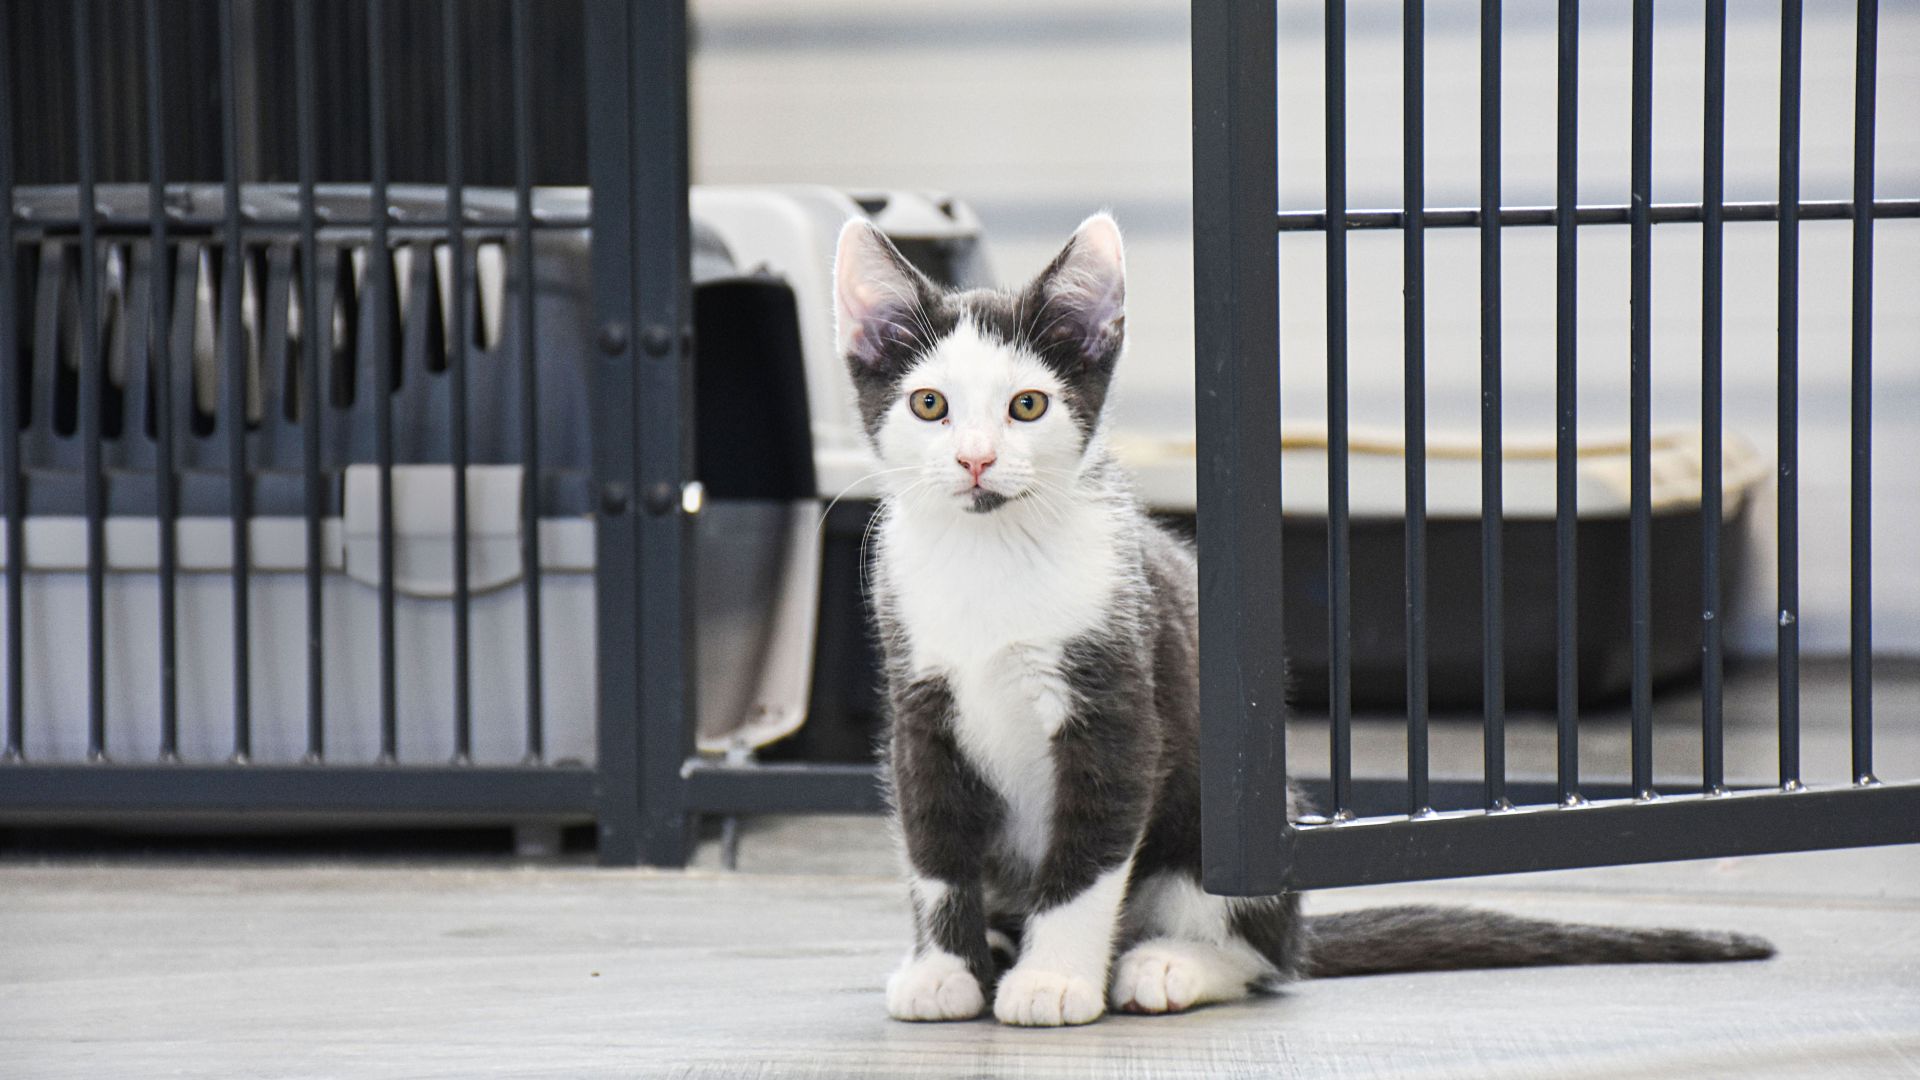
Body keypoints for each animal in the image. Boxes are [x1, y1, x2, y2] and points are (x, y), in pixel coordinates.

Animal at [837, 212, 1766, 1022]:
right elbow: (932, 849)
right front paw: (945, 972)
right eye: (929, 406)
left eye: (1027, 406)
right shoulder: (917, 705)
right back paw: (1001, 951)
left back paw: (1166, 965)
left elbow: (1089, 856)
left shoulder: (1118, 706)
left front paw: (1054, 980)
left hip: (1225, 823)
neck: (990, 557)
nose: (975, 460)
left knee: (1263, 956)